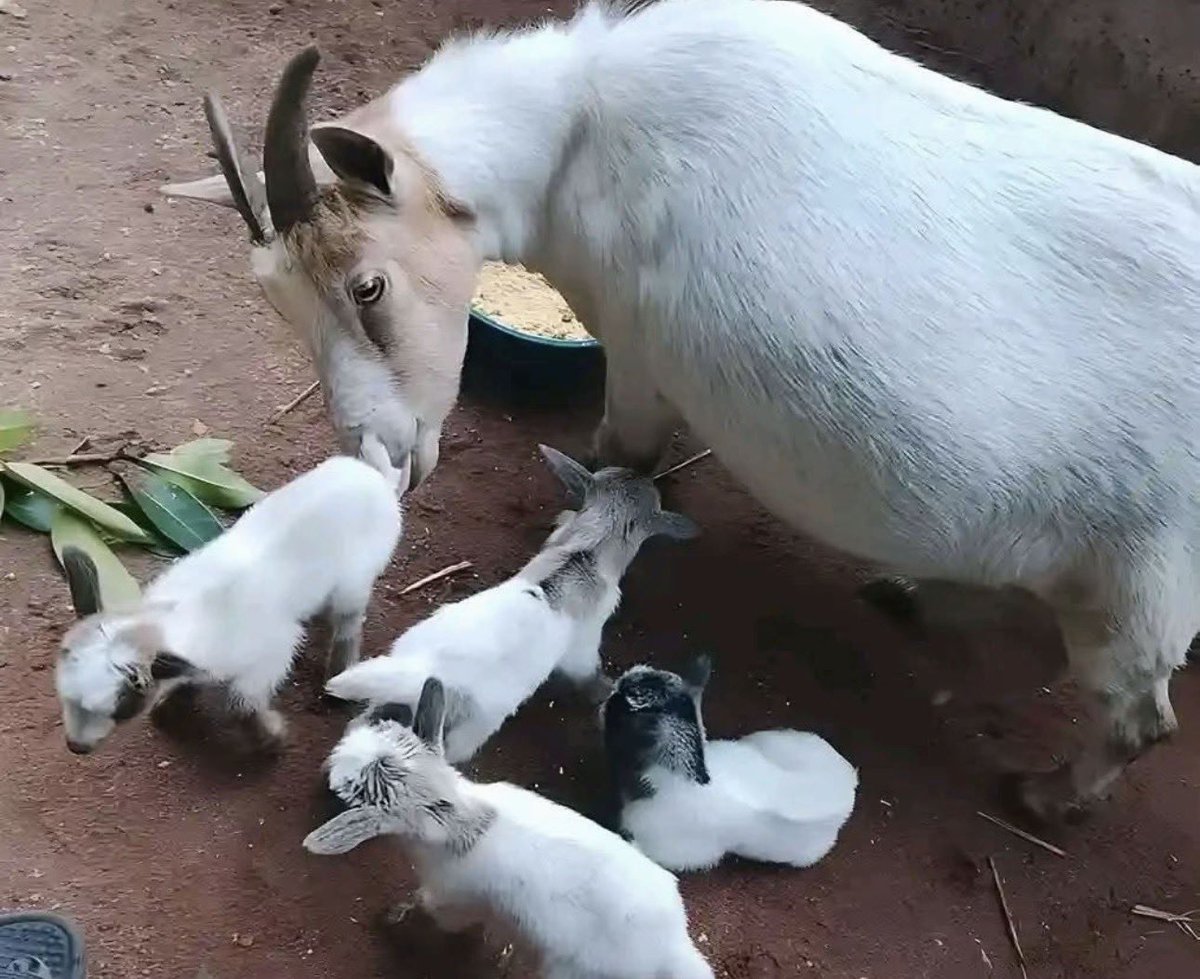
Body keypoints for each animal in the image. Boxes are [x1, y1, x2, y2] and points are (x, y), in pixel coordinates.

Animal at [54, 449, 403, 754]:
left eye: (121, 705)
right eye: (65, 695)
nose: (77, 746)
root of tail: (375, 478)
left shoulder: (273, 652)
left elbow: (241, 704)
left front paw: (271, 739)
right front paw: (172, 704)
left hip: (354, 580)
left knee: (348, 621)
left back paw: (338, 677)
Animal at [305, 678, 715, 979]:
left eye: (351, 792)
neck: (464, 824)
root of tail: (671, 948)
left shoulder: (452, 898)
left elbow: (432, 909)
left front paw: (393, 917)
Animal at [324, 445, 698, 763]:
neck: (587, 552)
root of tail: (424, 668)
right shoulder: (584, 646)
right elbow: (588, 672)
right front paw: (605, 689)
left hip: (393, 686)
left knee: (364, 722)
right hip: (473, 726)